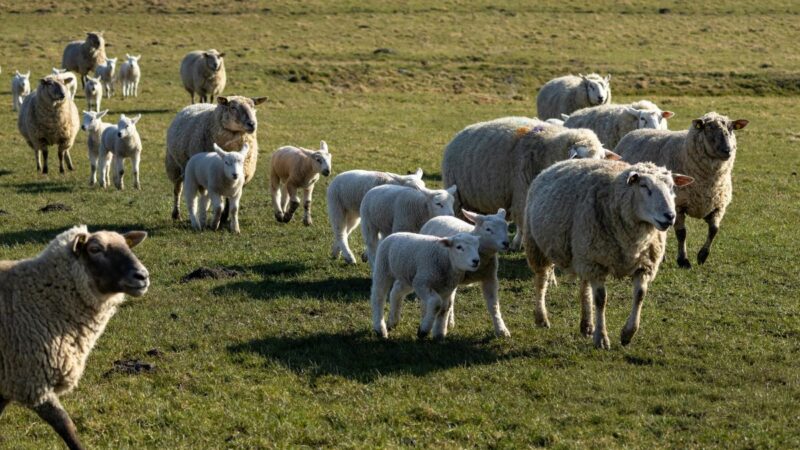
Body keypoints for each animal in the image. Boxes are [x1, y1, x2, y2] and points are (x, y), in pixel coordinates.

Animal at [0, 225, 149, 450]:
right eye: (95, 249)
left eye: (127, 245)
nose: (142, 276)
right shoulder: (31, 379)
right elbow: (66, 426)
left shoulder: (9, 379)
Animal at [420, 208, 511, 337]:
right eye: (488, 229)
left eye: (506, 227)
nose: (506, 243)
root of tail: (439, 217)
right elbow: (446, 305)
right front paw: (440, 329)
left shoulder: (490, 278)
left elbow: (493, 305)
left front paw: (501, 329)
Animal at [441, 116, 621, 251]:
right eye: (580, 157)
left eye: (602, 157)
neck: (548, 149)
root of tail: (461, 131)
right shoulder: (522, 194)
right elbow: (522, 222)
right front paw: (518, 243)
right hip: (459, 197)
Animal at [523, 159, 694, 348]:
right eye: (644, 186)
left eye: (672, 187)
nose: (670, 216)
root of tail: (557, 163)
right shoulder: (596, 263)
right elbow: (600, 299)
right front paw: (601, 338)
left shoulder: (643, 265)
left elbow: (640, 295)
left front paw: (627, 334)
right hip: (537, 245)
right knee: (541, 280)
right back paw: (541, 318)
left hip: (583, 252)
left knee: (584, 286)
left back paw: (587, 324)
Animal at [615, 112, 749, 268]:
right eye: (708, 128)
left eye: (731, 128)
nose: (727, 150)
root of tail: (637, 131)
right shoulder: (679, 205)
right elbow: (681, 233)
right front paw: (683, 260)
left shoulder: (719, 204)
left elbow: (714, 230)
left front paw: (702, 256)